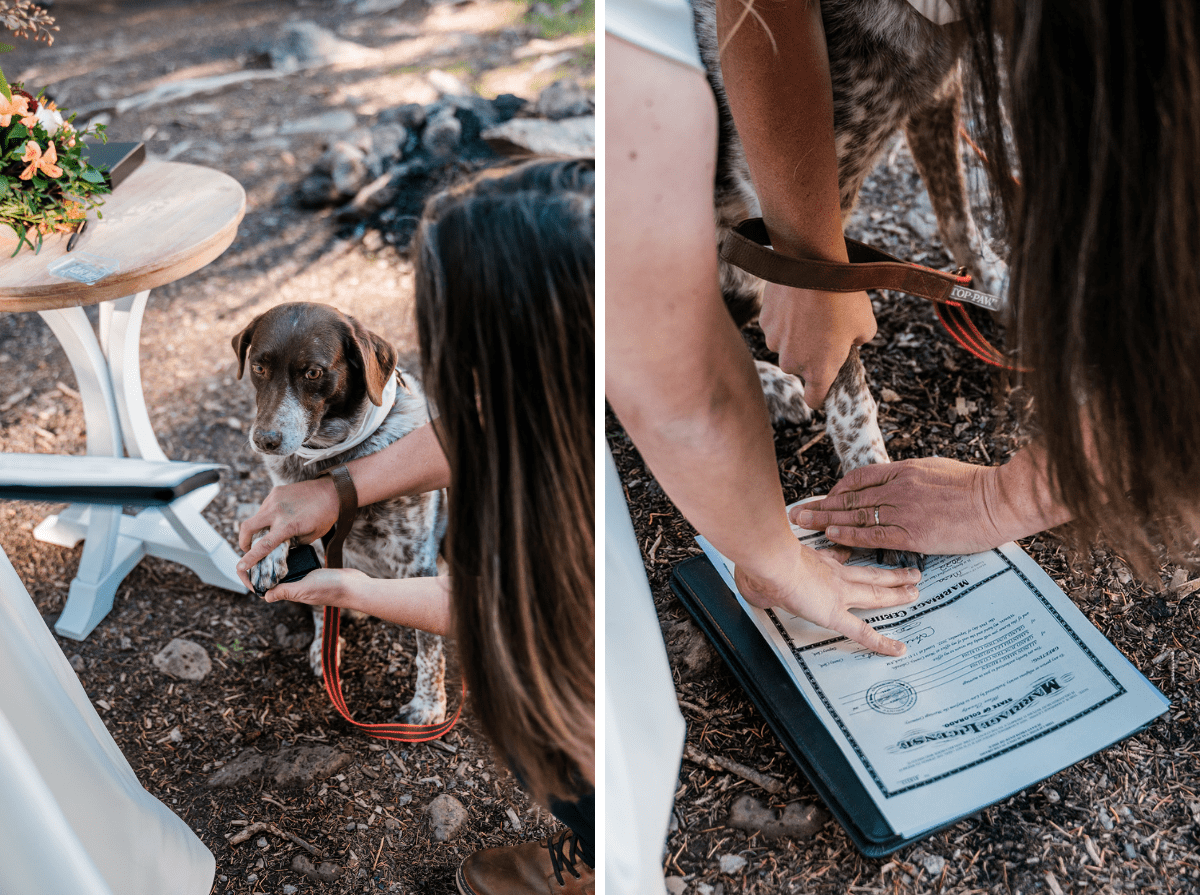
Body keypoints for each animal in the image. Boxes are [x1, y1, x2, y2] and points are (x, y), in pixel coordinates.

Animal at [231, 299, 448, 724]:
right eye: (259, 367)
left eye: (313, 372)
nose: (265, 440)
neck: (333, 464)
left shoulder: (417, 562)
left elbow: (428, 647)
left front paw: (428, 704)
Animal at [691, 0, 1008, 551]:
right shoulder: (802, 198)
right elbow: (843, 370)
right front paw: (869, 472)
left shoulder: (940, 95)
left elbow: (956, 216)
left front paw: (995, 281)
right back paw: (773, 386)